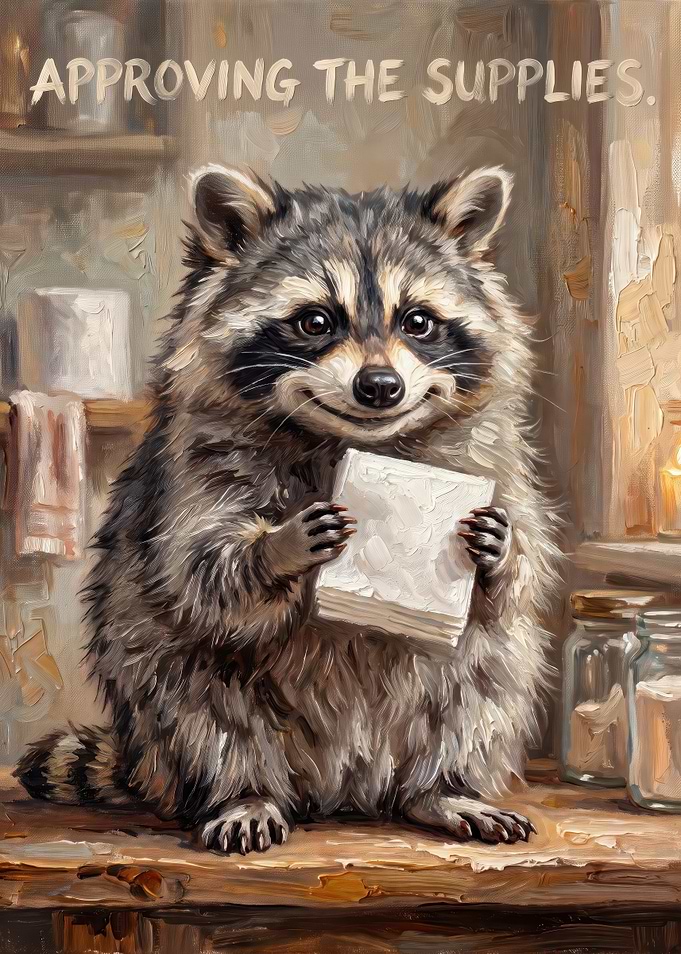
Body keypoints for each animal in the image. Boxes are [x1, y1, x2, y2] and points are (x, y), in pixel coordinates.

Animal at [16, 165, 560, 852]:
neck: (354, 441)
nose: (380, 387)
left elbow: (522, 572)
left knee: (482, 679)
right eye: (316, 321)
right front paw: (277, 549)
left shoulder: (491, 457)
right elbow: (201, 572)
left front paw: (502, 550)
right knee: (200, 703)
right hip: (159, 678)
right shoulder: (196, 466)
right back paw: (242, 791)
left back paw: (442, 787)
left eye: (418, 321)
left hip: (469, 689)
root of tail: (343, 785)